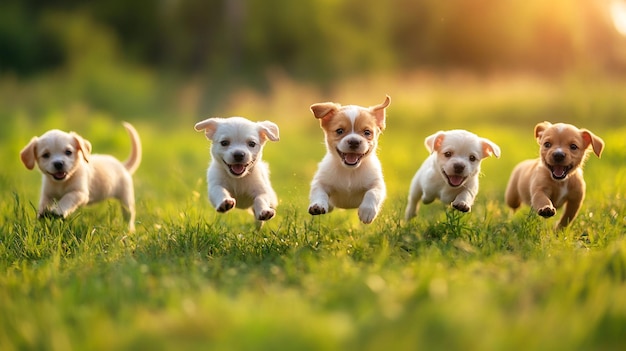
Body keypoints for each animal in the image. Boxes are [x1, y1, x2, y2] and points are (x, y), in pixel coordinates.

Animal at [306, 95, 388, 226]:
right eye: (339, 131)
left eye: (367, 132)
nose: (354, 141)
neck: (350, 171)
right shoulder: (320, 182)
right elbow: (319, 192)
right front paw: (317, 205)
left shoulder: (377, 184)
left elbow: (372, 193)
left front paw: (367, 211)